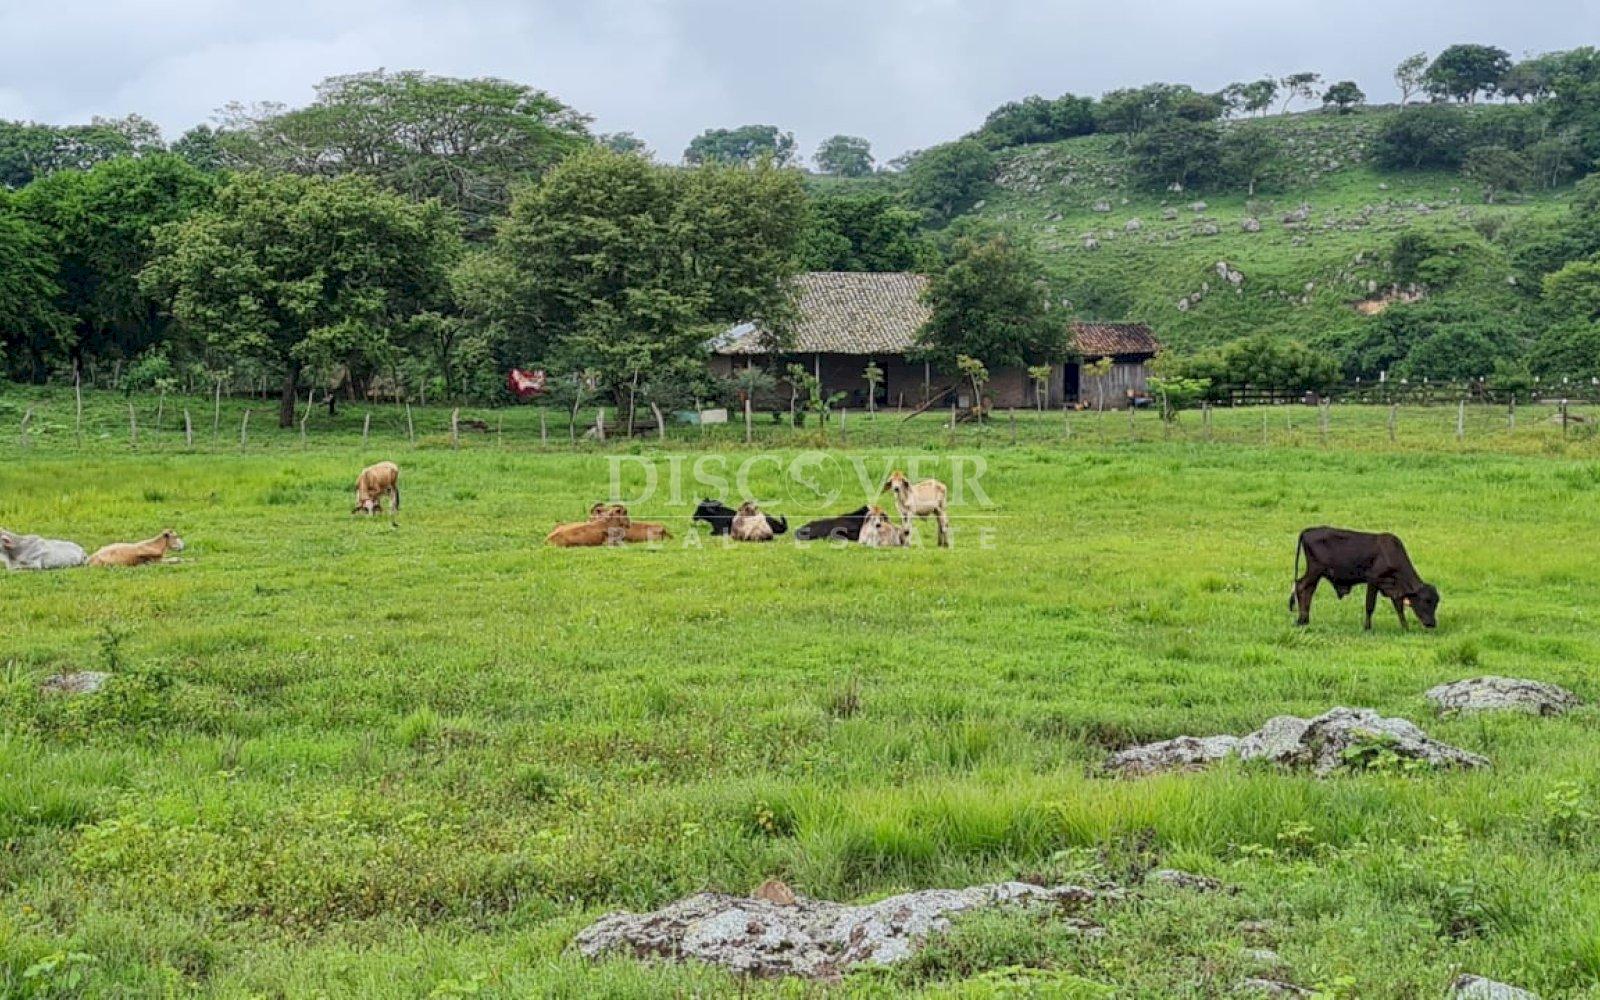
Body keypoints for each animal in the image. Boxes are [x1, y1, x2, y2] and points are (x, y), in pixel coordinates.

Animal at [1290, 526, 1440, 630]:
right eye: (1426, 601)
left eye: (1435, 602)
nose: (1432, 623)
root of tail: (1308, 530)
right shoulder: (1373, 581)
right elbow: (1369, 606)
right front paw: (1367, 627)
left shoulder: (1393, 588)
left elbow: (1399, 608)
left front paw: (1405, 627)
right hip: (1314, 571)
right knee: (1301, 586)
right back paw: (1301, 619)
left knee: (1307, 590)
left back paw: (1304, 619)